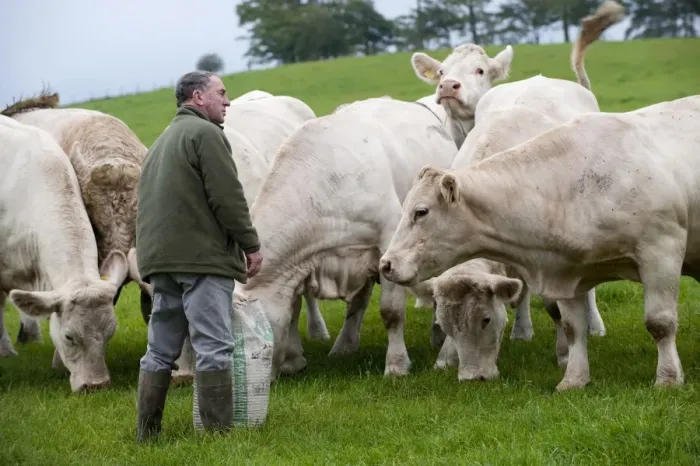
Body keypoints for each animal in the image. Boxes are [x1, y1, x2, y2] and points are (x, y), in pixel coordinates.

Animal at [235, 96, 459, 378]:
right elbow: (293, 309)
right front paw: (293, 360)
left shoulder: (389, 244)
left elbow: (391, 311)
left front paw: (396, 364)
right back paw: (344, 345)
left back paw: (439, 335)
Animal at [378, 93, 700, 391]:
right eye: (445, 326)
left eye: (421, 212)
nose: (386, 264)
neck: (569, 185)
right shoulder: (568, 269)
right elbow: (572, 328)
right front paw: (574, 379)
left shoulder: (660, 252)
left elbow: (660, 323)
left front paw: (668, 378)